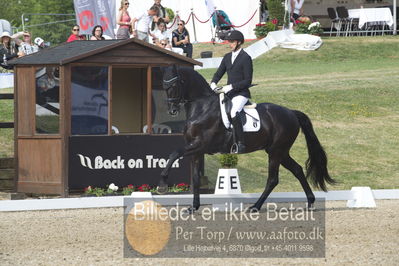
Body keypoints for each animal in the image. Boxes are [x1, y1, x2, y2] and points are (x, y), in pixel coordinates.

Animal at [158, 65, 336, 212]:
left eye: (174, 86)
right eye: (164, 86)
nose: (172, 110)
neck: (202, 108)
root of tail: (291, 112)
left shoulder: (201, 145)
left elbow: (174, 153)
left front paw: (162, 184)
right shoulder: (195, 149)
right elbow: (194, 178)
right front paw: (193, 207)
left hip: (276, 152)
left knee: (273, 179)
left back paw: (255, 207)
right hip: (280, 151)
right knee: (297, 170)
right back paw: (310, 202)